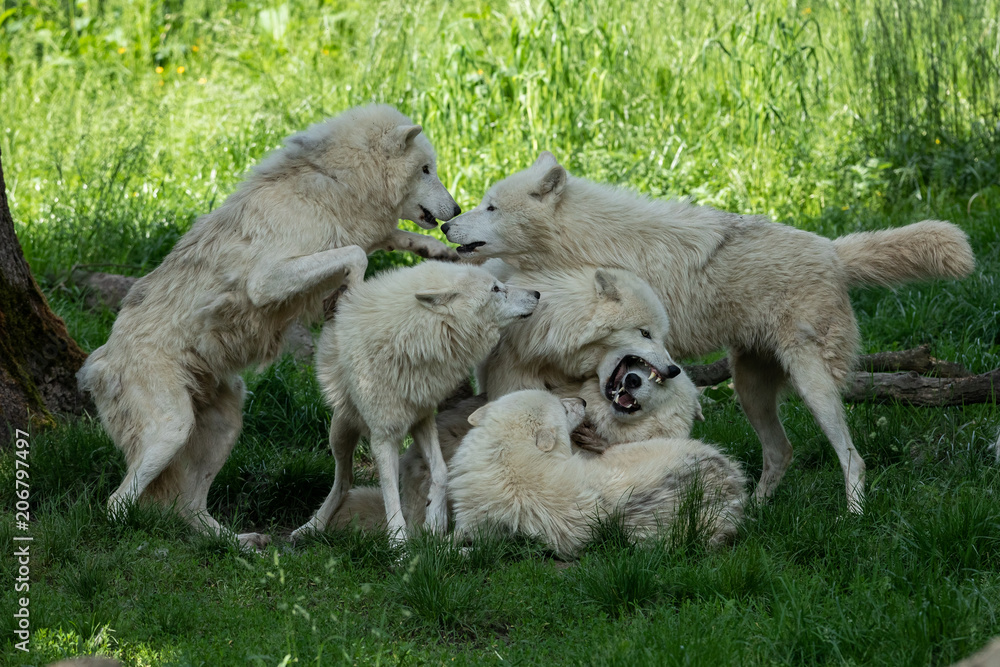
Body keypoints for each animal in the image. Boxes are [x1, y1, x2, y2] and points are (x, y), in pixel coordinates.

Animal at [77, 105, 461, 548]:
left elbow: (388, 237)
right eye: (426, 169)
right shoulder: (267, 280)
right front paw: (350, 296)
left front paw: (438, 250)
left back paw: (241, 543)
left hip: (227, 424)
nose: (456, 211)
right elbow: (356, 255)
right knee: (117, 504)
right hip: (171, 430)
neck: (334, 183)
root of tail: (96, 364)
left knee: (191, 508)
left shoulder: (364, 231)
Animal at [291, 262, 539, 542]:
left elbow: (441, 470)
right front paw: (399, 544)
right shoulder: (384, 437)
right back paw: (310, 527)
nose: (537, 293)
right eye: (496, 289)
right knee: (343, 480)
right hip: (340, 433)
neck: (410, 339)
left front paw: (435, 521)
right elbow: (391, 496)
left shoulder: (422, 418)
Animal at [442, 152, 975, 512]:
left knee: (852, 457)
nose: (446, 225)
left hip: (814, 387)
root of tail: (833, 250)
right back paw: (756, 510)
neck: (580, 241)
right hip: (750, 388)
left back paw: (854, 516)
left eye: (490, 207)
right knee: (781, 451)